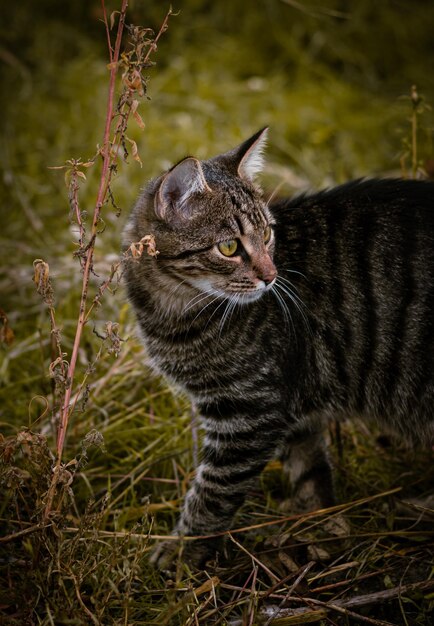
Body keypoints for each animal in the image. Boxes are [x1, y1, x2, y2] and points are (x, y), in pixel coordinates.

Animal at [121, 128, 434, 564]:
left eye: (267, 234)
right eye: (229, 247)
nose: (271, 276)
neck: (172, 308)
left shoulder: (248, 413)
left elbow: (211, 493)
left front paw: (180, 553)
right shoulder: (289, 407)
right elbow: (310, 475)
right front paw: (317, 525)